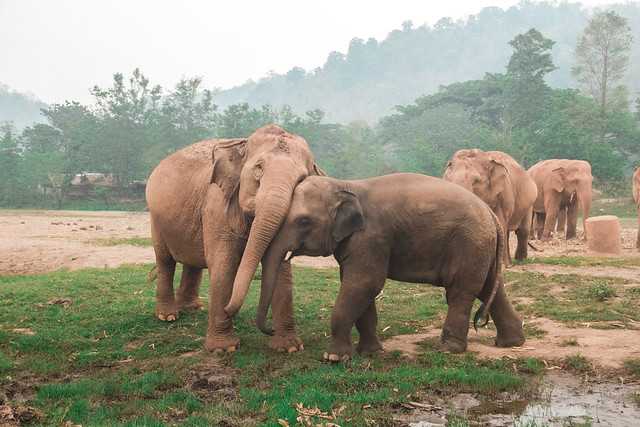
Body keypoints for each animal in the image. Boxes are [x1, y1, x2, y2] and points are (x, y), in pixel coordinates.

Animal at [146, 124, 324, 354]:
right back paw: (168, 316)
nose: (269, 330)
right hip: (157, 220)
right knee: (165, 260)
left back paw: (193, 308)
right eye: (259, 168)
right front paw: (224, 348)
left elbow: (280, 266)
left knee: (193, 262)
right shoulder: (216, 206)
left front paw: (290, 348)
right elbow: (224, 264)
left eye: (301, 180)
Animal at [248, 172, 524, 360]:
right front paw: (370, 352)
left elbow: (364, 283)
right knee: (490, 288)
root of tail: (491, 214)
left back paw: (448, 349)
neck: (345, 184)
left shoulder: (371, 237)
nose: (270, 330)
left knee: (460, 291)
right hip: (481, 247)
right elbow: (360, 288)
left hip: (469, 243)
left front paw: (334, 358)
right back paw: (512, 343)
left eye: (303, 221)